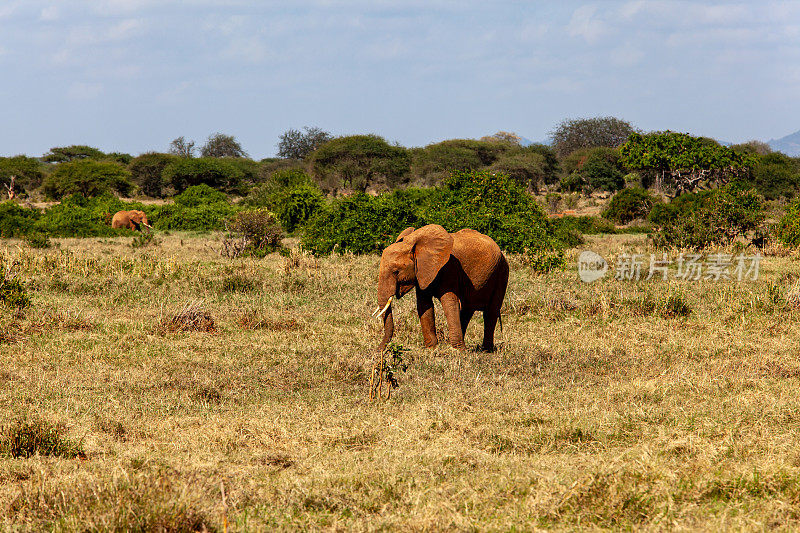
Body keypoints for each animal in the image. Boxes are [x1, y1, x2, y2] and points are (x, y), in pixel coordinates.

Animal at [378, 223, 510, 352]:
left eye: (396, 272)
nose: (379, 350)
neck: (414, 243)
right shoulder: (423, 272)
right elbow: (424, 305)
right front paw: (432, 349)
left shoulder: (449, 267)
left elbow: (449, 304)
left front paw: (458, 352)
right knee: (467, 310)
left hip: (502, 271)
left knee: (491, 312)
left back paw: (486, 350)